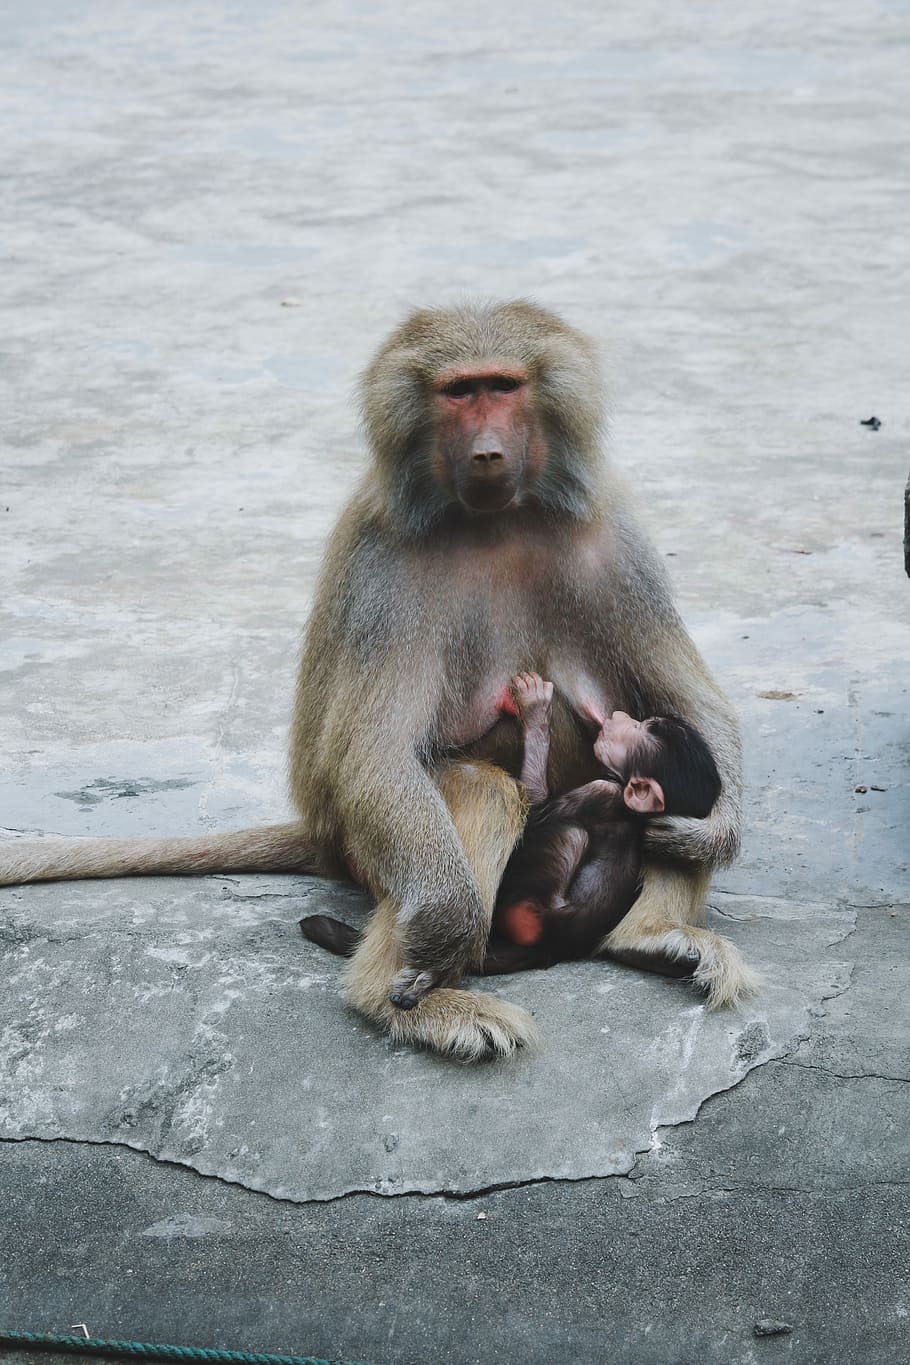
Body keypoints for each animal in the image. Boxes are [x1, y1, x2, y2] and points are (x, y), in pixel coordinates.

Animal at [300, 671, 723, 981]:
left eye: (640, 728)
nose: (619, 717)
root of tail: (549, 950)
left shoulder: (600, 792)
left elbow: (535, 807)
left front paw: (535, 710)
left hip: (523, 902)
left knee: (568, 835)